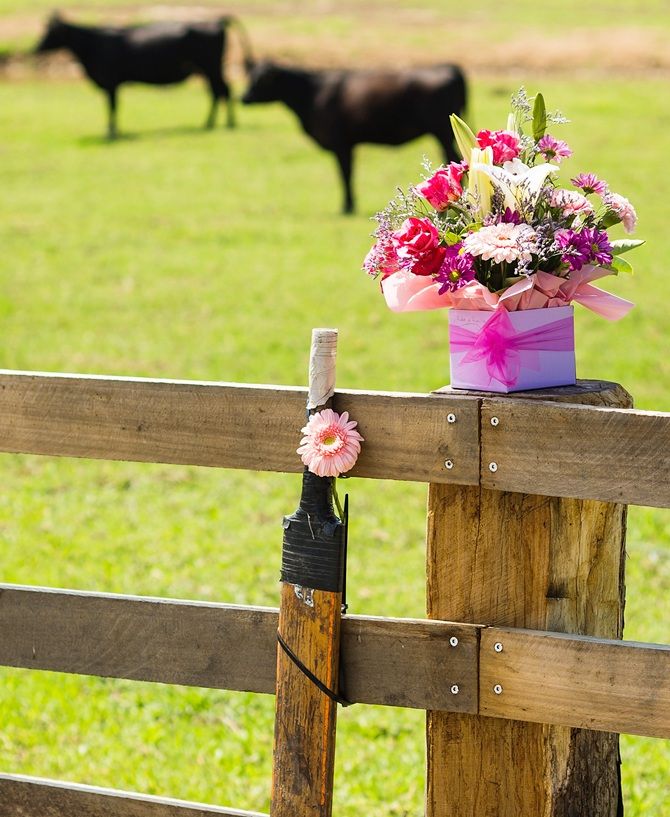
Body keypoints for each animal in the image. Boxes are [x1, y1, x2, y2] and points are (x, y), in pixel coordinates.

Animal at [34, 13, 255, 139]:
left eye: (51, 32)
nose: (35, 48)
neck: (93, 43)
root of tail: (217, 21)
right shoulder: (112, 84)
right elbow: (114, 107)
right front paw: (115, 131)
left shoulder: (111, 82)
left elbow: (112, 107)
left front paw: (111, 133)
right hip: (205, 70)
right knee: (217, 92)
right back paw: (211, 124)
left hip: (210, 67)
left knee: (223, 90)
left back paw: (225, 124)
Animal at [242, 60, 468, 214]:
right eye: (250, 75)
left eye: (261, 80)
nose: (243, 98)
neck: (313, 93)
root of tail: (447, 67)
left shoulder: (341, 144)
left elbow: (345, 174)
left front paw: (347, 206)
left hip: (442, 131)